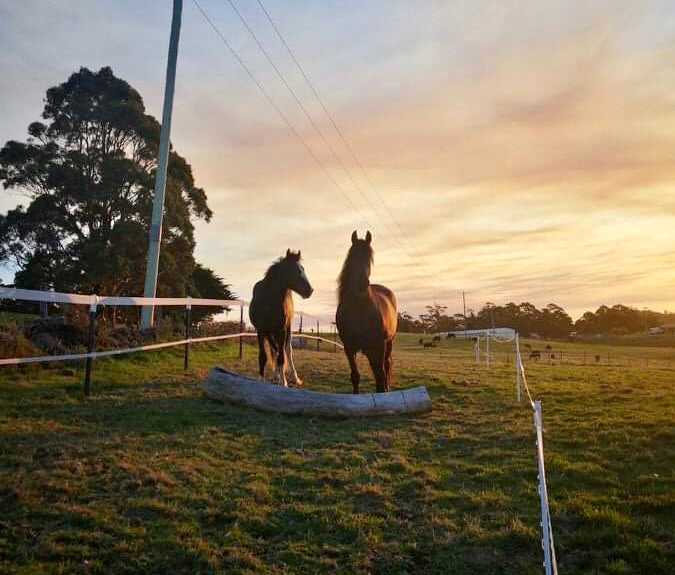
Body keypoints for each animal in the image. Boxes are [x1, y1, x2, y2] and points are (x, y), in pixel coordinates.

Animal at [251, 251, 314, 388]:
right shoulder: (260, 331)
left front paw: (283, 382)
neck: (268, 302)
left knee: (287, 351)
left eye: (303, 269)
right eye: (296, 270)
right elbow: (263, 356)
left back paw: (294, 377)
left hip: (287, 330)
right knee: (274, 350)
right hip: (270, 333)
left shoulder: (281, 331)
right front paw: (261, 379)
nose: (310, 290)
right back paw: (276, 375)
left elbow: (282, 357)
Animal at [336, 232, 398, 394]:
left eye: (369, 256)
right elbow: (355, 376)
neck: (359, 307)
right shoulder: (349, 347)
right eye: (352, 255)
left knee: (385, 367)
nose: (362, 283)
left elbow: (381, 375)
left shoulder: (379, 345)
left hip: (387, 343)